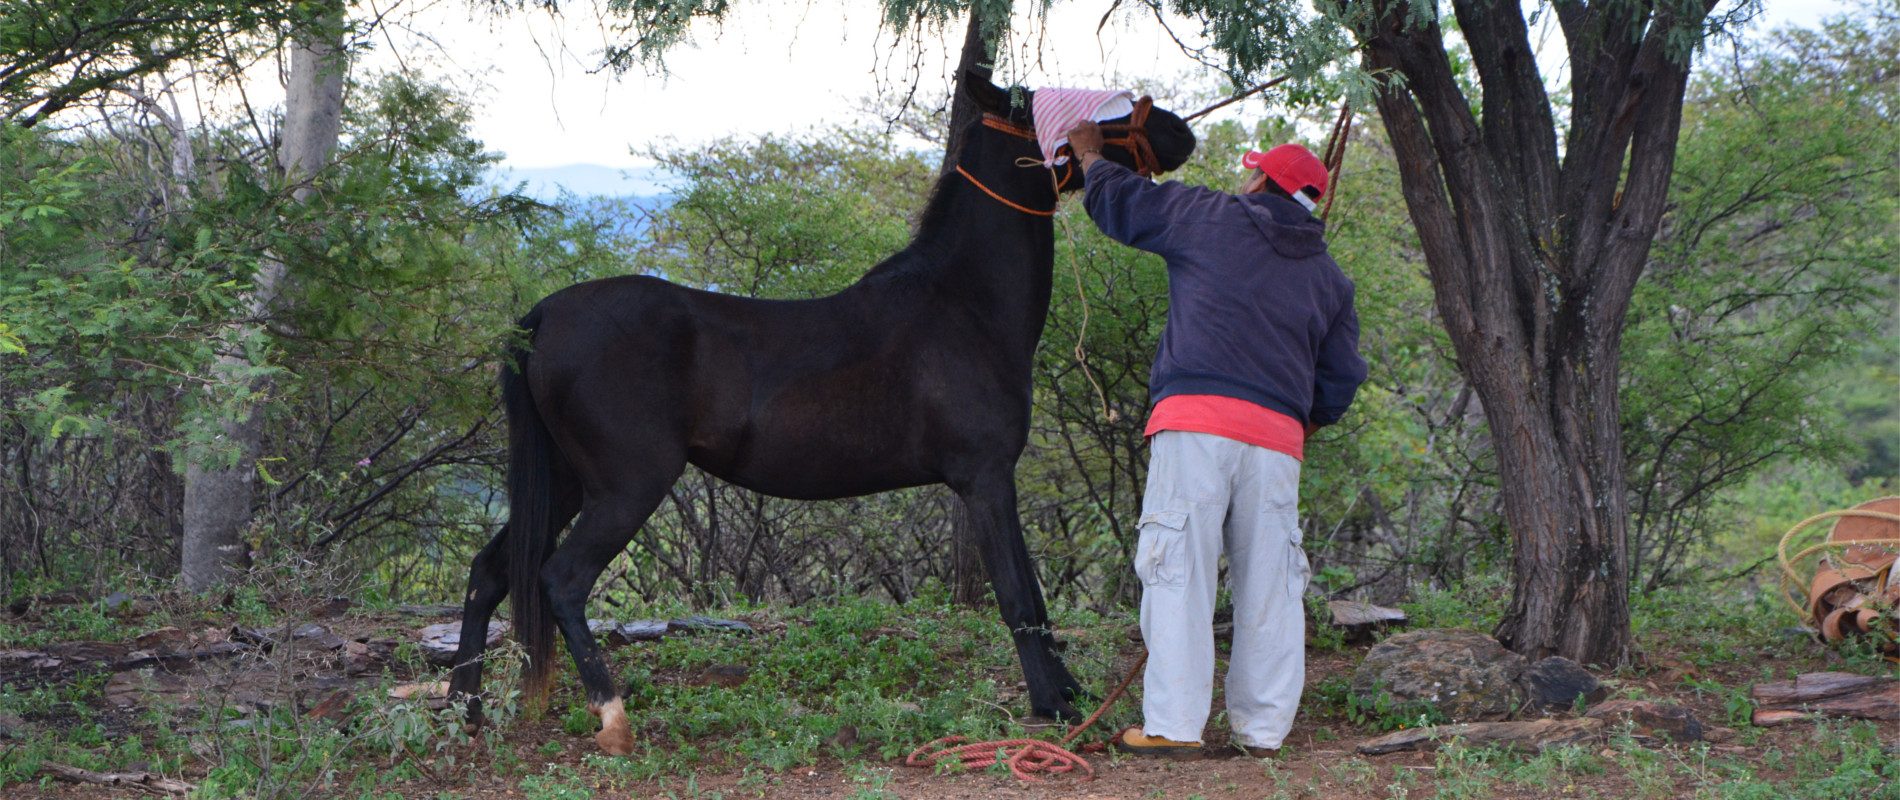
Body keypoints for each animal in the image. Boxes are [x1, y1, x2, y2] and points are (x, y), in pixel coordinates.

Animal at [448, 71, 1185, 752]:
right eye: (1083, 107)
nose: (1180, 131)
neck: (961, 304)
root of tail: (544, 316)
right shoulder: (984, 478)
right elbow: (1016, 593)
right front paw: (1051, 705)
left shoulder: (992, 479)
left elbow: (1032, 592)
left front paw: (1070, 694)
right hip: (626, 486)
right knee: (561, 580)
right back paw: (612, 717)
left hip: (567, 482)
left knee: (491, 573)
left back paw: (464, 709)